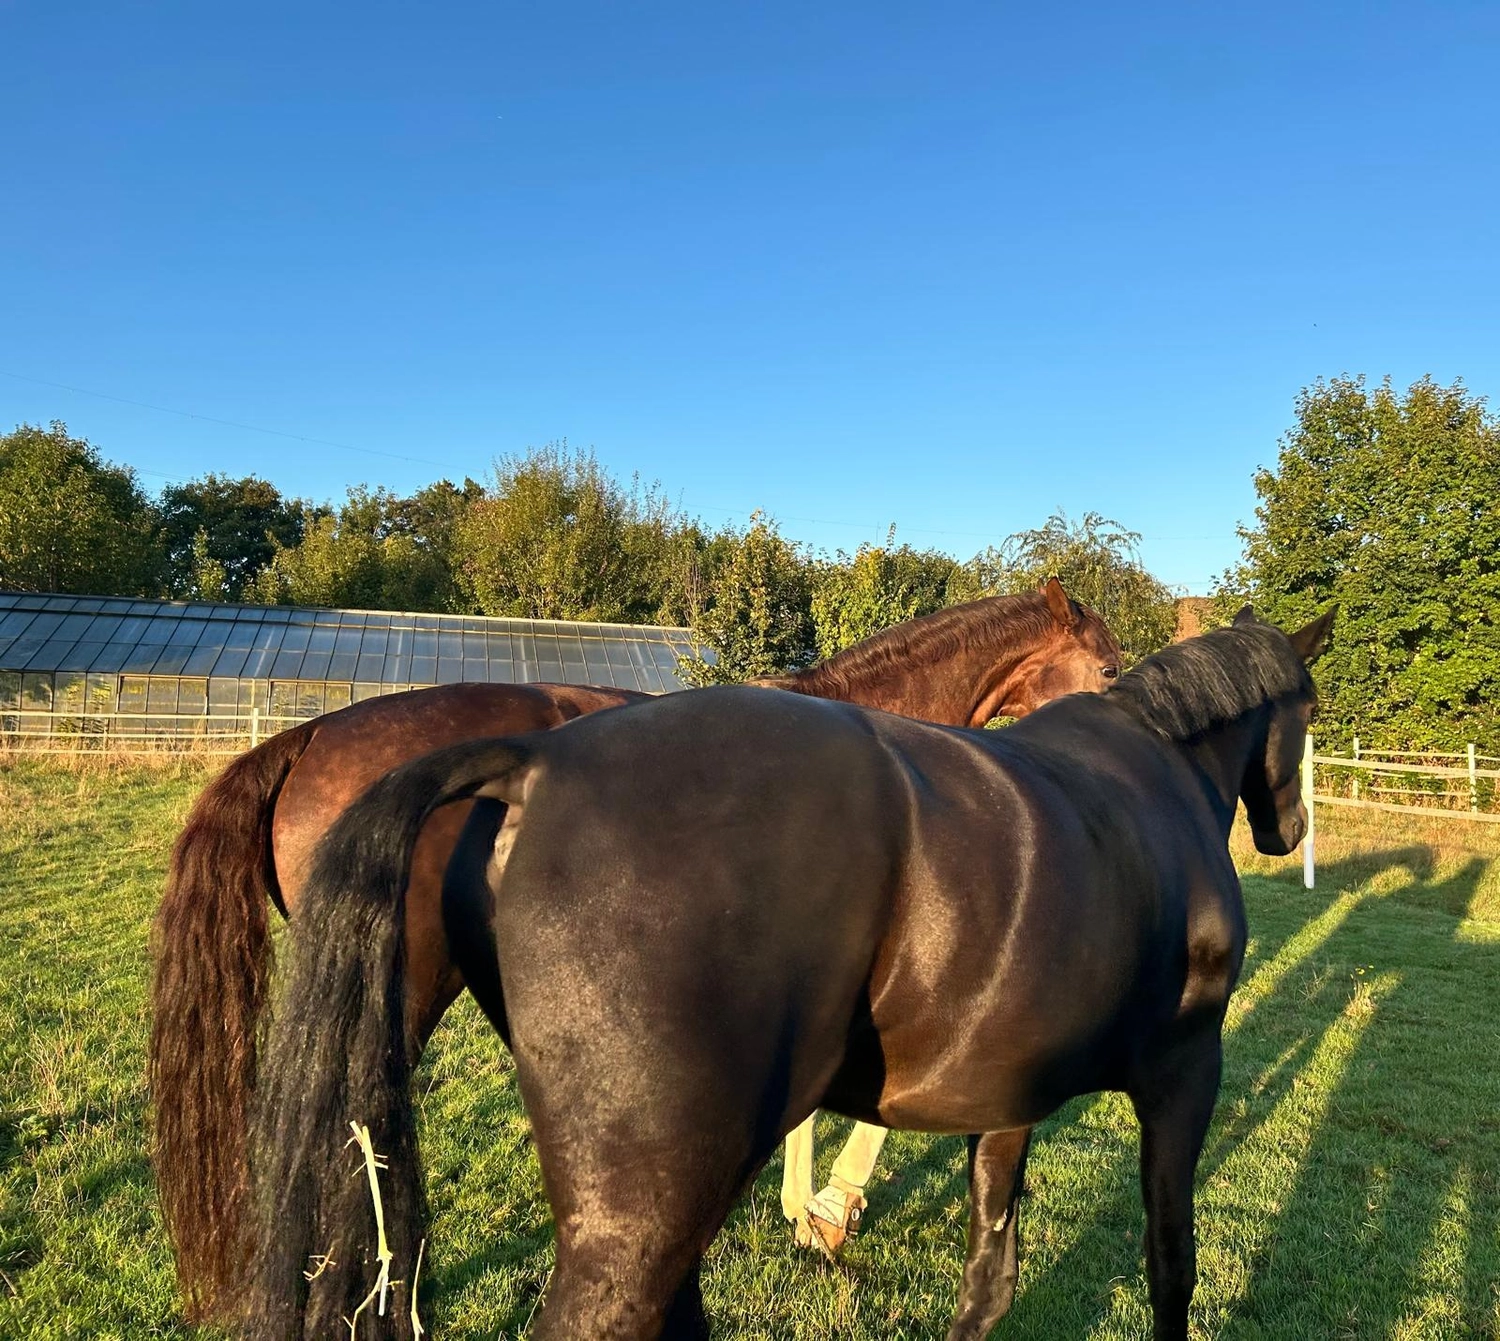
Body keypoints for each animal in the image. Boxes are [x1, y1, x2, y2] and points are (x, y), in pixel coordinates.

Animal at [241, 606, 1335, 1340]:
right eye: (1103, 660)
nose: (1288, 828)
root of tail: (530, 763)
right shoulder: (1180, 1073)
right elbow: (1168, 1258)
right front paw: (824, 1213)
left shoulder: (996, 1077)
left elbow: (985, 1260)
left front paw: (818, 1213)